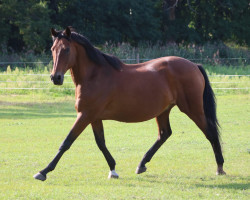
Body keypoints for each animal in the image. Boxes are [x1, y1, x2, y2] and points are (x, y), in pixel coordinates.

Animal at [33, 26, 227, 181]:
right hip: (163, 111)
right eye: (52, 49)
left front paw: (43, 172)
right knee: (164, 134)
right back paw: (141, 164)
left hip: (193, 109)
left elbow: (66, 142)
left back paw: (220, 168)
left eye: (66, 50)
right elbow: (101, 143)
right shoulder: (94, 118)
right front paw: (113, 169)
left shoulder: (85, 115)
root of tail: (194, 66)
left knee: (210, 132)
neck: (95, 76)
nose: (55, 78)